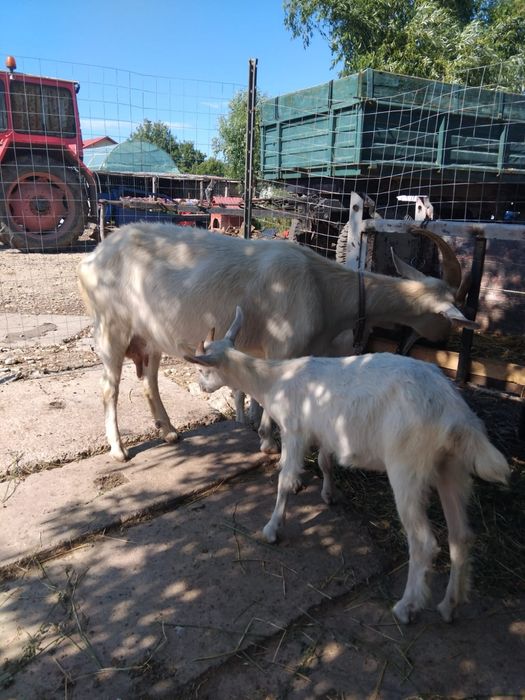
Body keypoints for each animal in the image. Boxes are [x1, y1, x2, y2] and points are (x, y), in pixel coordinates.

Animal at [77, 222, 476, 462]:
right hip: (110, 324)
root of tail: (91, 259)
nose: (444, 338)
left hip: (149, 333)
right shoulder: (283, 346)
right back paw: (119, 450)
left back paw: (170, 432)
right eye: (447, 316)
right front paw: (269, 442)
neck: (325, 288)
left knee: (149, 378)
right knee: (108, 386)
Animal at [186, 307, 509, 624]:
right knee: (461, 536)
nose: (201, 387)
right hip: (452, 468)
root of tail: (455, 415)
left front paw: (272, 528)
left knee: (424, 542)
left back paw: (407, 606)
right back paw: (449, 605)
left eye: (202, 369)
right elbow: (326, 462)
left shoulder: (294, 430)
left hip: (408, 465)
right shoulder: (327, 432)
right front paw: (328, 495)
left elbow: (285, 480)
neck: (275, 380)